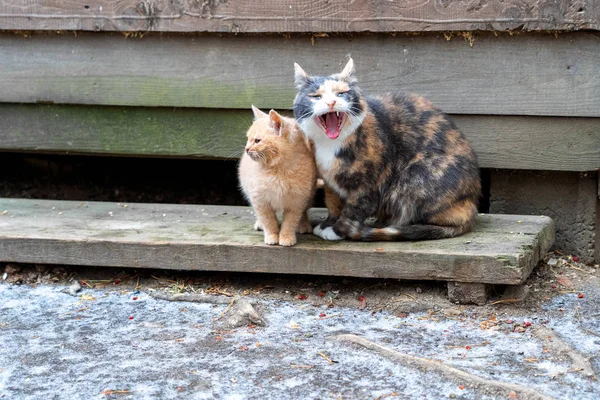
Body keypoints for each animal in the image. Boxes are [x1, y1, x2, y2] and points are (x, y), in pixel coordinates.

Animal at [238, 106, 318, 245]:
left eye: (257, 140)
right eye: (248, 139)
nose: (246, 149)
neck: (278, 171)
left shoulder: (297, 201)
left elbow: (290, 221)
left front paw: (286, 237)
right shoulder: (260, 200)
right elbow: (268, 220)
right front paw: (272, 236)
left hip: (309, 194)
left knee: (303, 212)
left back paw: (303, 224)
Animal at [292, 58, 480, 242]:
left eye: (341, 93)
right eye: (316, 96)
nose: (331, 102)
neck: (330, 145)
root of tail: (471, 203)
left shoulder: (370, 183)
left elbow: (353, 210)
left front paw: (338, 230)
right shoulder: (330, 182)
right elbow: (333, 203)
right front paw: (329, 224)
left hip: (413, 176)